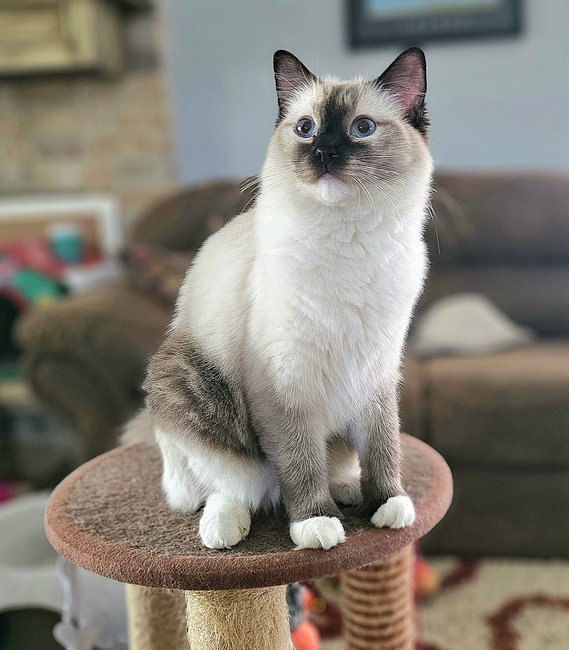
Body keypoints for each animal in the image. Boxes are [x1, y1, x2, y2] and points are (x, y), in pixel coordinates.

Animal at [138, 48, 430, 548]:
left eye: (362, 128)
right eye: (306, 128)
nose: (324, 152)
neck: (349, 243)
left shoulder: (376, 375)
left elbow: (382, 448)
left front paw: (386, 504)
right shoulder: (285, 385)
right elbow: (300, 462)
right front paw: (315, 523)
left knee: (326, 465)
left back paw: (348, 490)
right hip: (186, 385)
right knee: (235, 484)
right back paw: (224, 530)